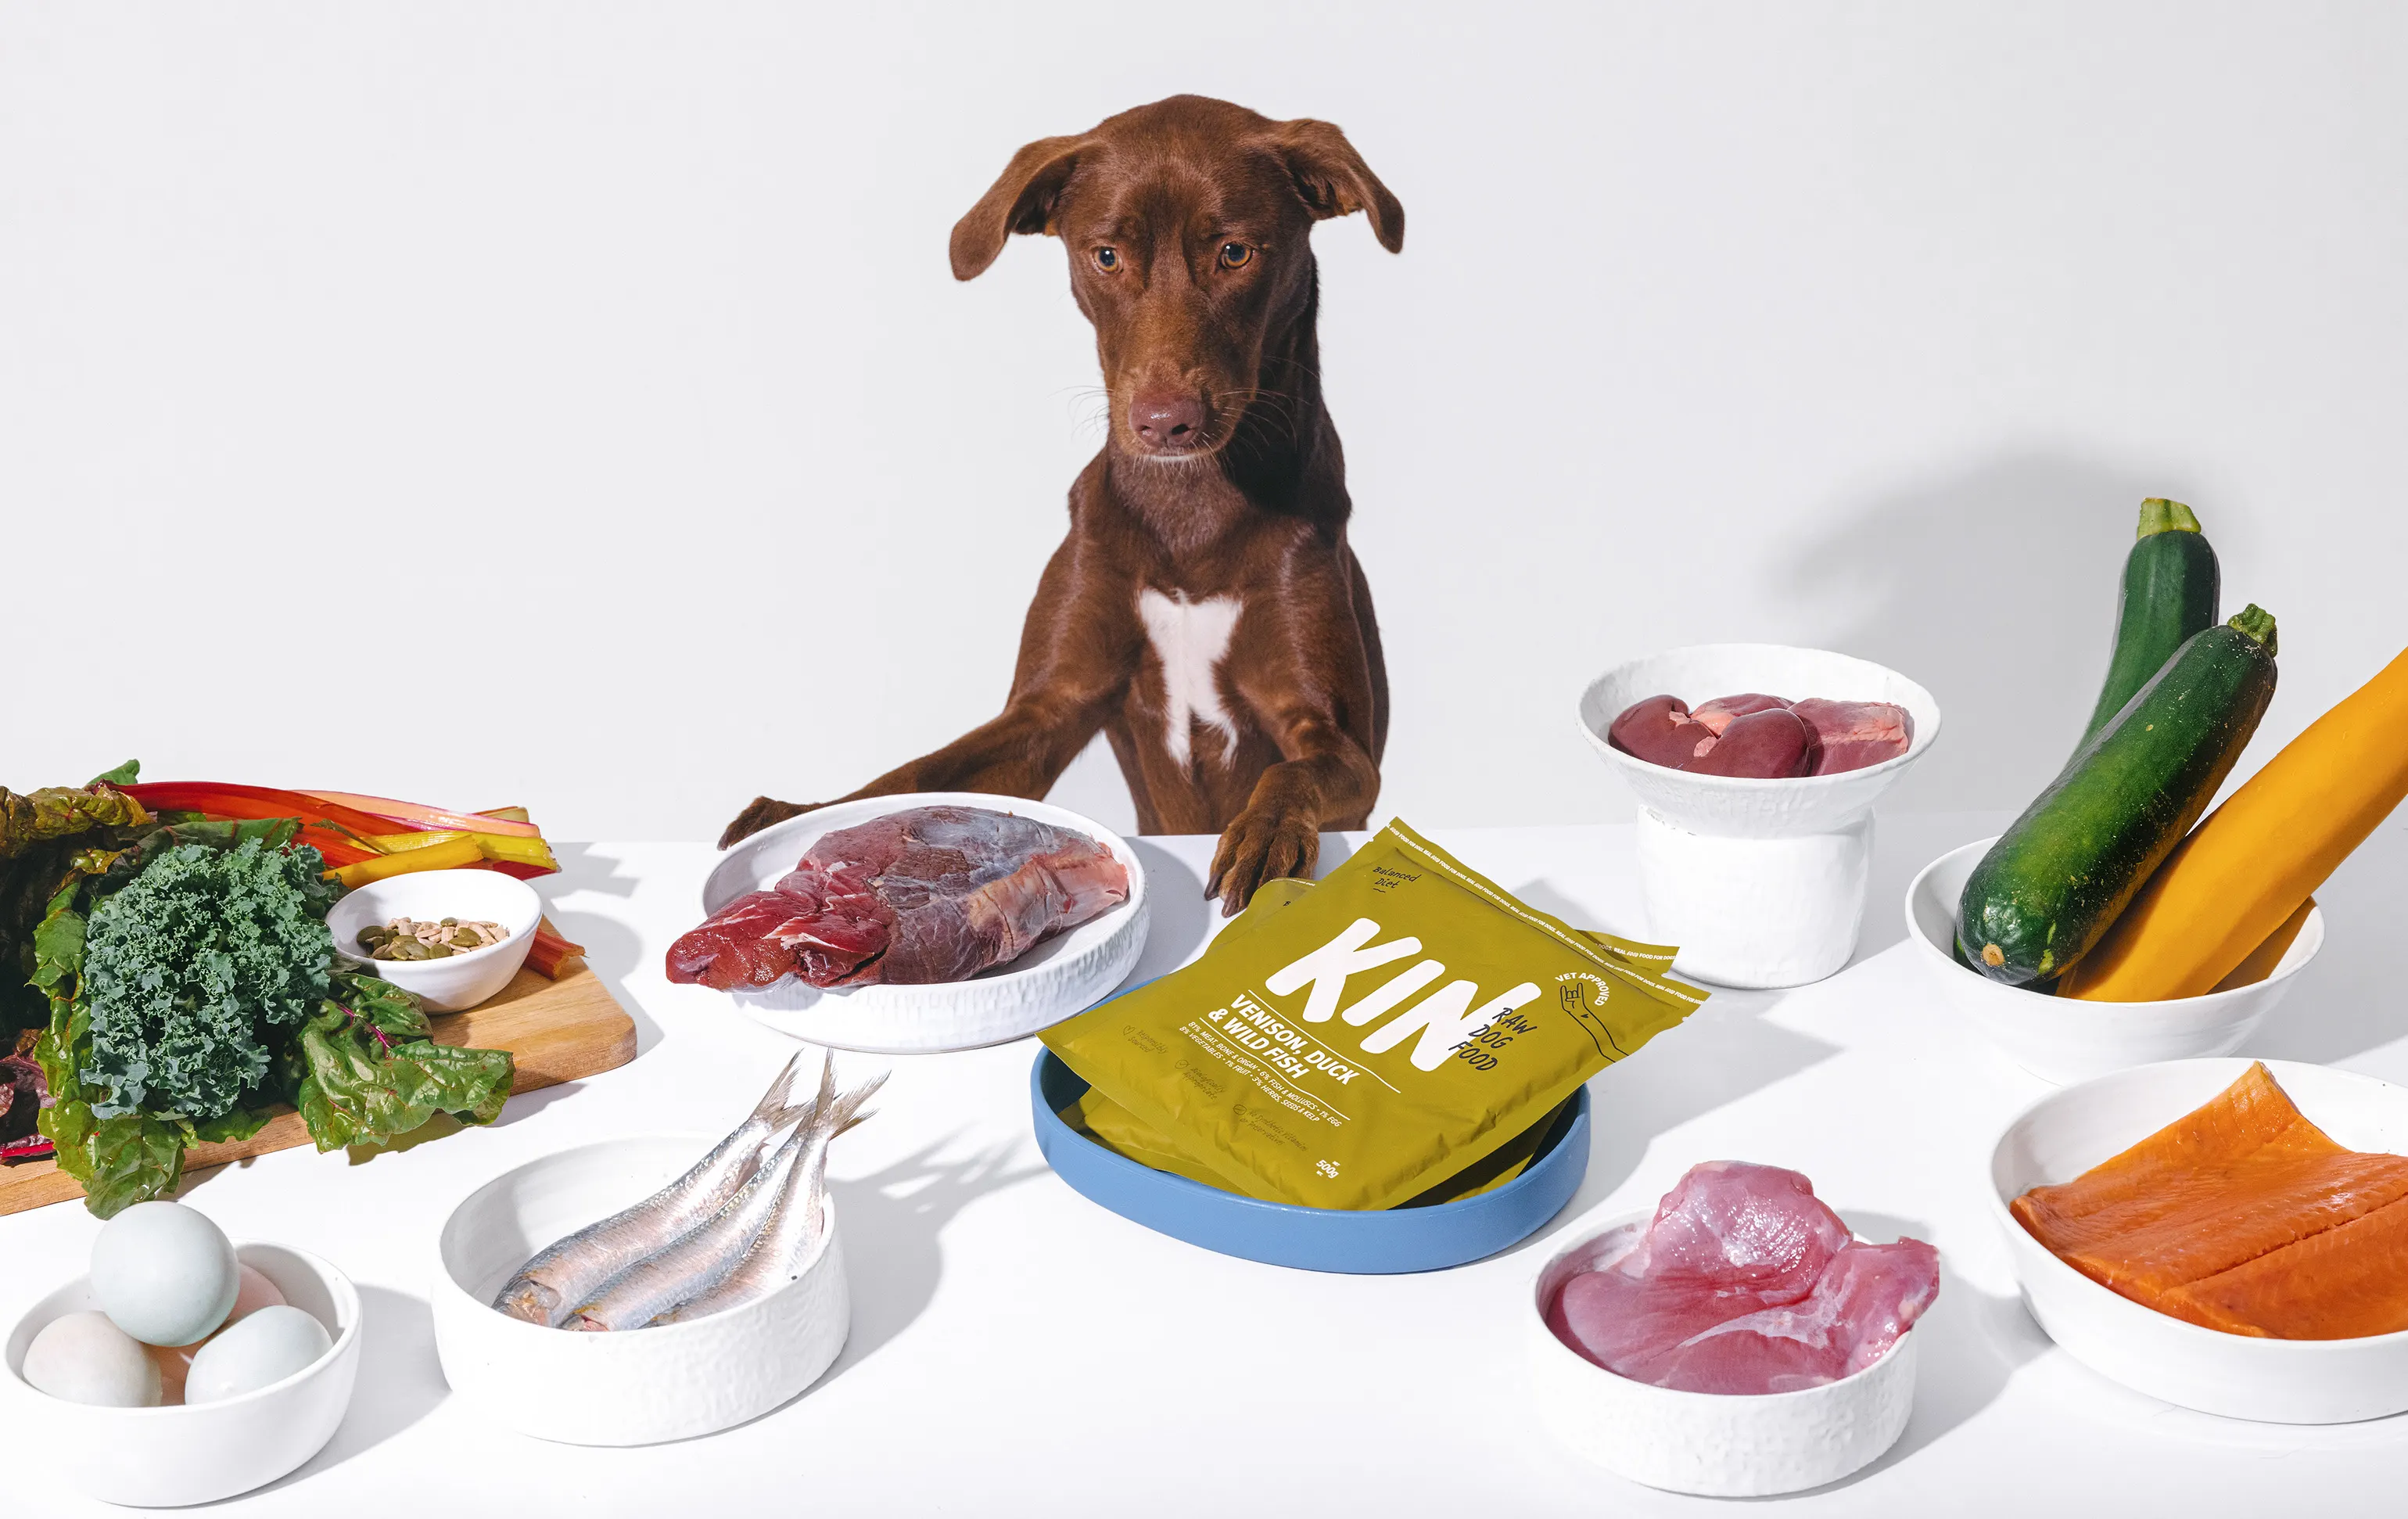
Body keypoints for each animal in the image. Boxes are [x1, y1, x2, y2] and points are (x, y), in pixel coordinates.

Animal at [717, 101, 1396, 919]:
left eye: (1235, 252)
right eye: (1105, 256)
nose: (1166, 422)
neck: (1190, 509)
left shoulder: (1334, 740)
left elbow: (1291, 771)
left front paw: (1263, 834)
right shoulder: (1047, 711)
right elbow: (916, 773)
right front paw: (808, 813)